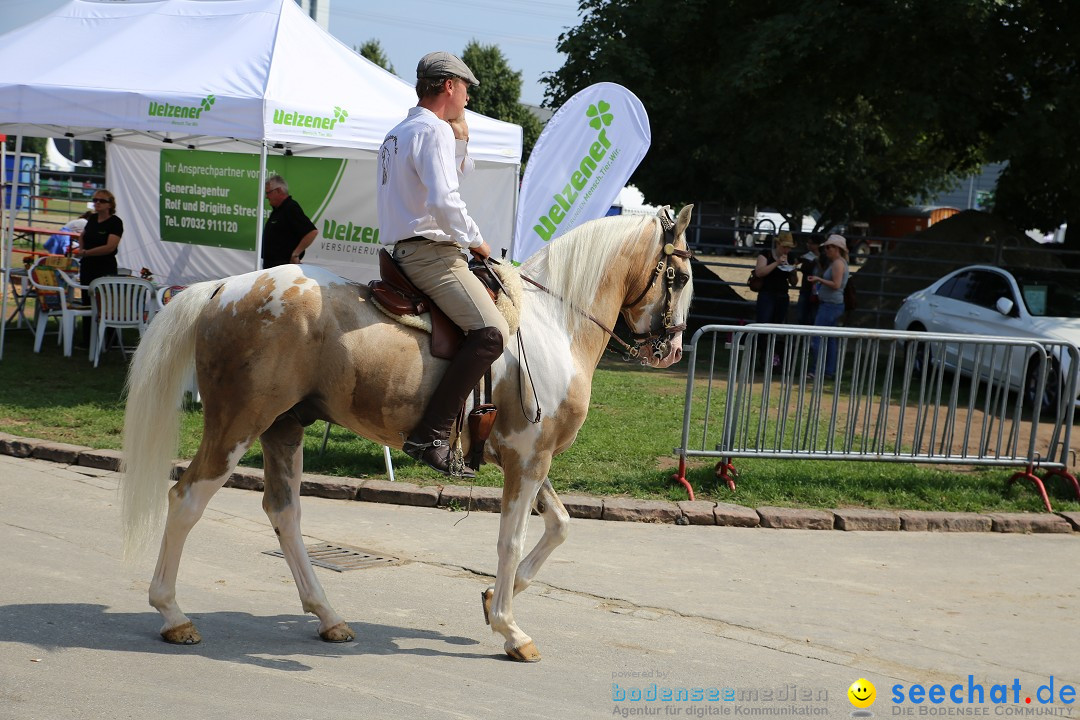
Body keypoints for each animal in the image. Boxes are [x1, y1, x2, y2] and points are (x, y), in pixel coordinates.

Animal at [118, 205, 691, 660]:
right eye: (682, 278)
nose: (672, 350)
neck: (555, 323)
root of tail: (223, 288)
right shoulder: (528, 459)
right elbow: (513, 539)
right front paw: (510, 630)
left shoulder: (531, 456)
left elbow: (560, 526)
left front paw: (493, 601)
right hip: (238, 424)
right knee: (187, 499)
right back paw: (173, 615)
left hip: (283, 428)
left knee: (284, 513)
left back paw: (328, 616)